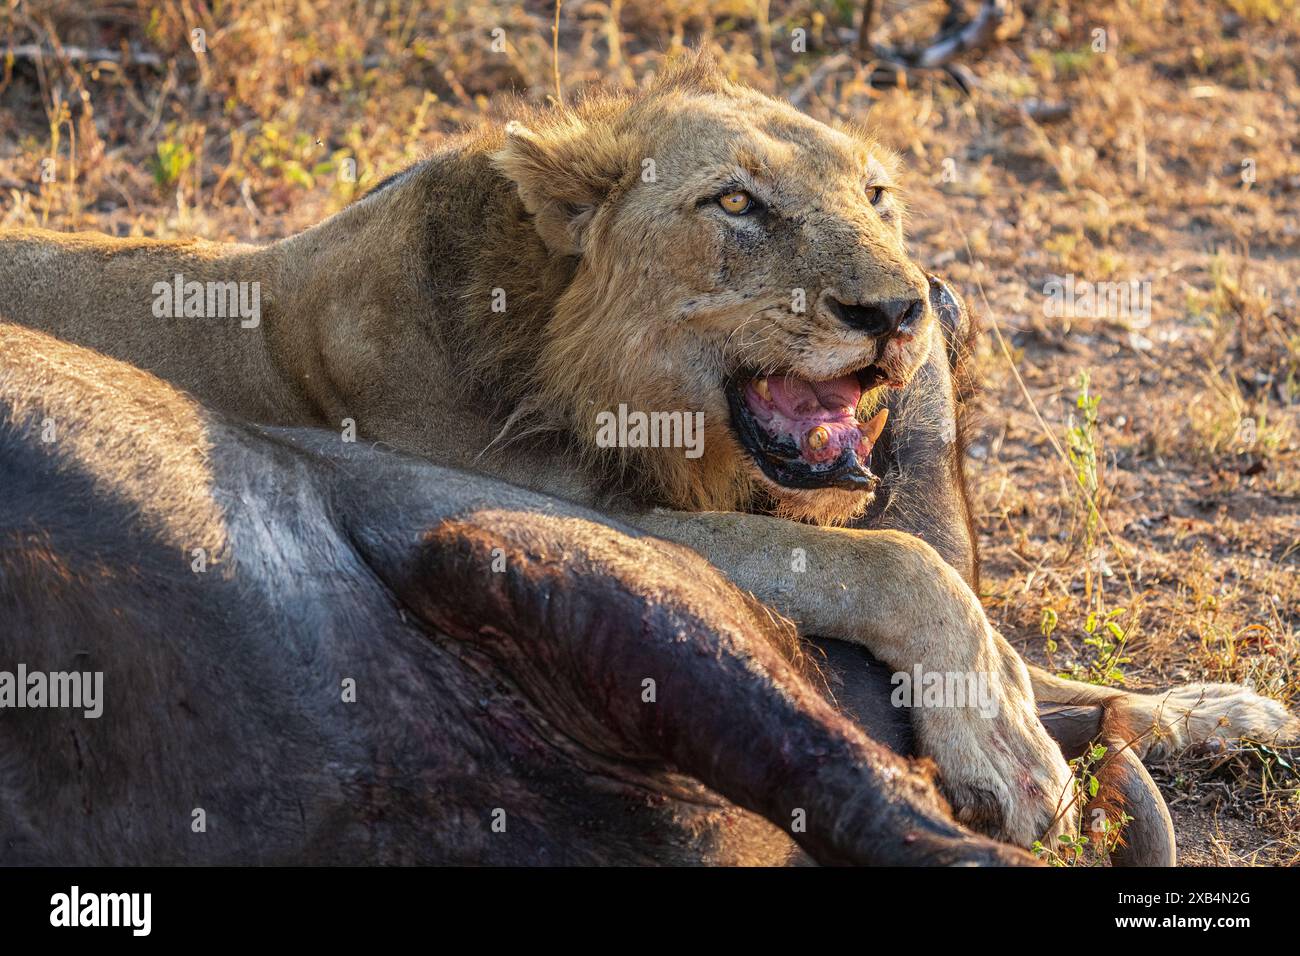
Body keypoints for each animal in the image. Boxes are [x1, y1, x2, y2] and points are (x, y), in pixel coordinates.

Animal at [2, 54, 1295, 851]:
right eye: (735, 204)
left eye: (876, 192)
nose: (902, 308)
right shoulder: (564, 517)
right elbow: (897, 565)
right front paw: (1009, 754)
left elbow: (1045, 660)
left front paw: (1220, 709)